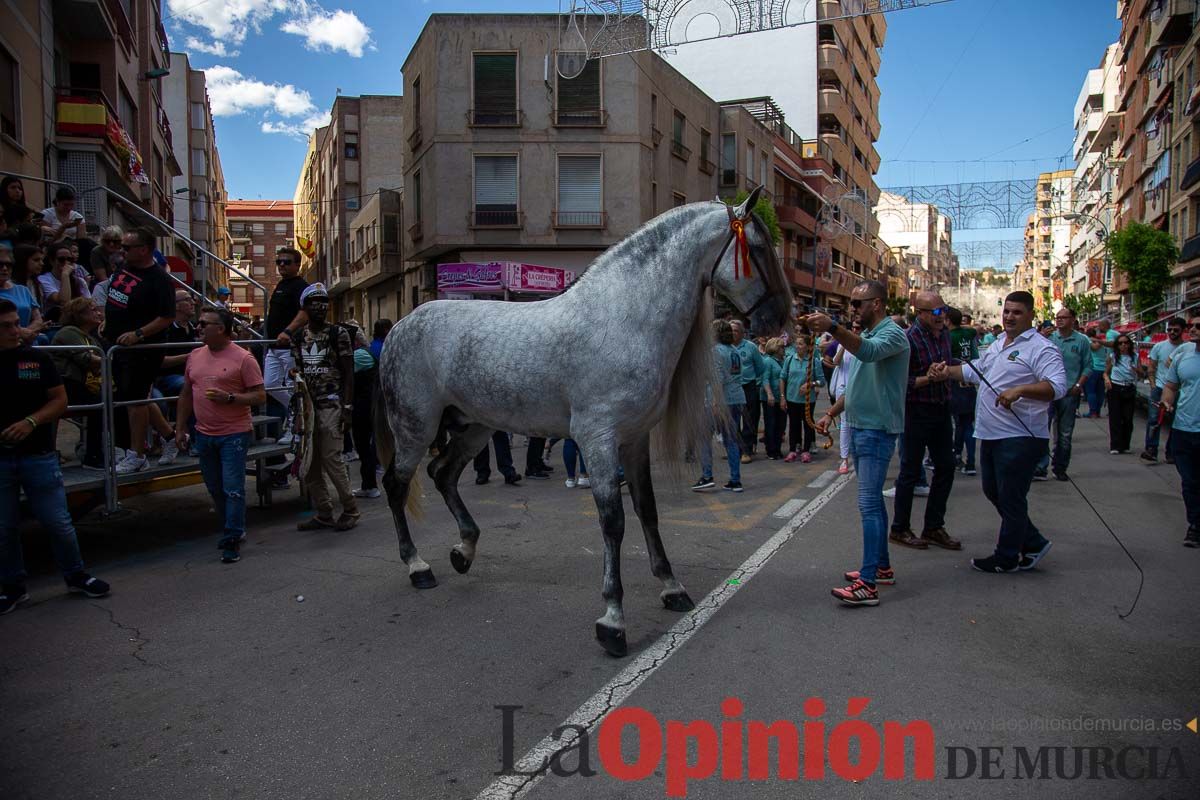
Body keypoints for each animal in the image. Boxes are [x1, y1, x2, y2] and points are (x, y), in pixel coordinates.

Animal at [374, 188, 787, 657]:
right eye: (758, 248)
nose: (779, 318)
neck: (623, 319)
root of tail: (400, 327)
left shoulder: (634, 440)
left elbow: (647, 511)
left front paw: (671, 587)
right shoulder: (597, 440)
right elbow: (613, 521)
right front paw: (613, 620)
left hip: (475, 427)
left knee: (442, 474)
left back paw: (464, 550)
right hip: (416, 428)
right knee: (396, 485)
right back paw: (417, 565)